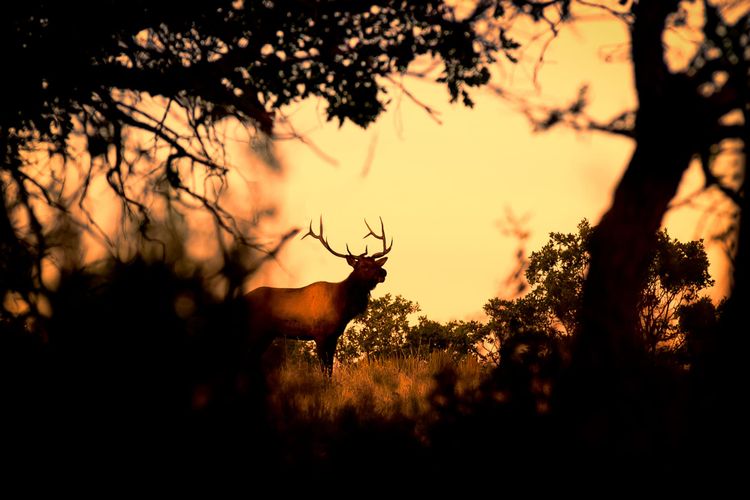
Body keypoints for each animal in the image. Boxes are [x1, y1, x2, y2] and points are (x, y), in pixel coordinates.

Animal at [243, 217, 392, 375]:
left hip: (266, 335)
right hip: (255, 330)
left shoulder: (334, 336)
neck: (341, 306)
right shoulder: (319, 335)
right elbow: (323, 368)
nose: (383, 272)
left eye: (376, 263)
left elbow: (330, 368)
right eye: (364, 266)